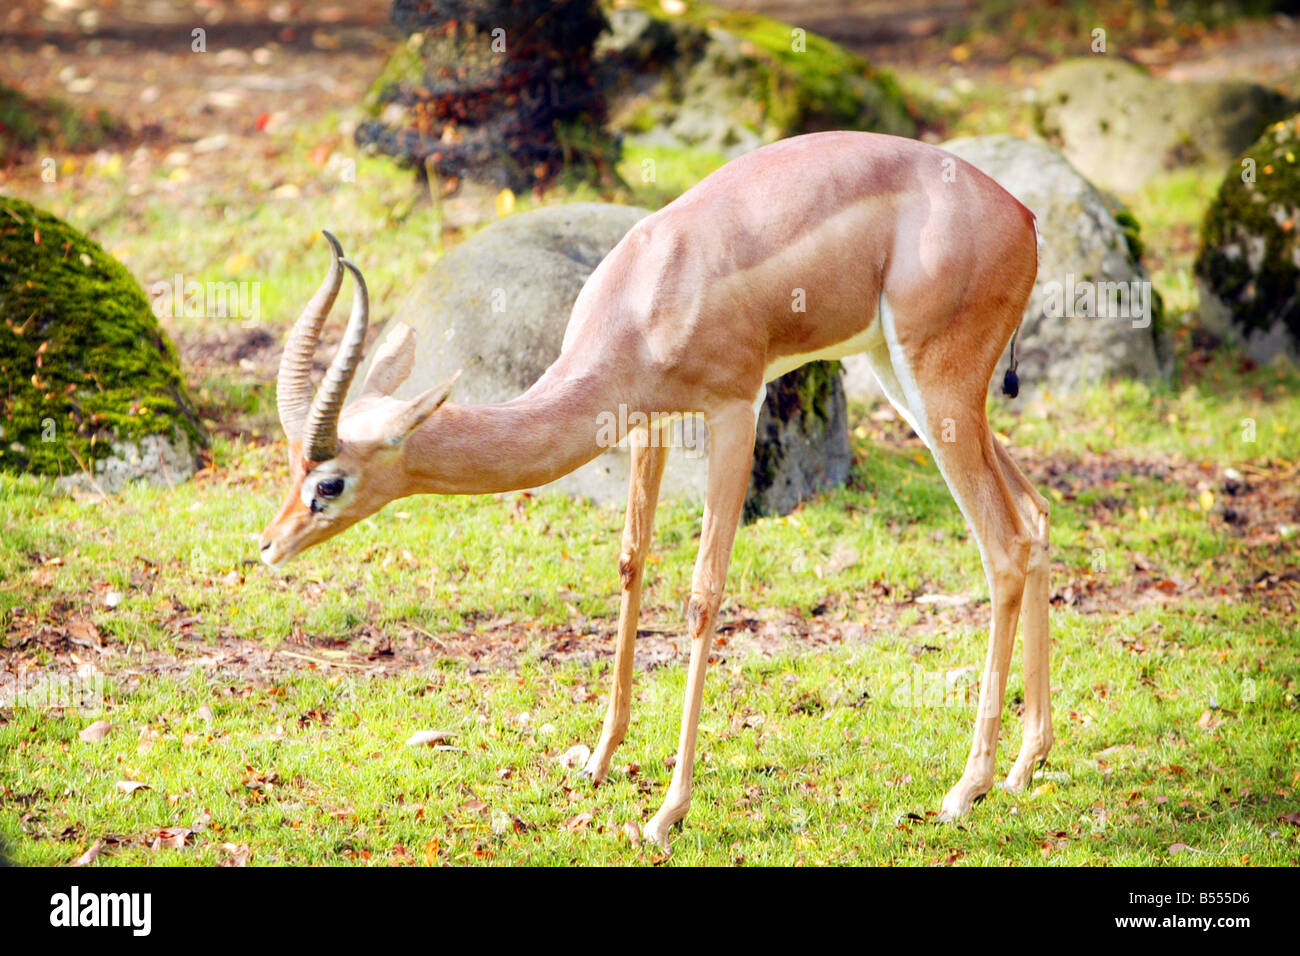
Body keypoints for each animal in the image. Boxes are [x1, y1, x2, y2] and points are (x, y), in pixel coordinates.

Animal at [260, 131, 1052, 848]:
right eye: (293, 465)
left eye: (329, 481)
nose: (268, 546)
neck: (649, 298)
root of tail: (1020, 214)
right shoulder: (647, 420)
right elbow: (631, 561)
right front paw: (597, 761)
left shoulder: (734, 411)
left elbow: (703, 596)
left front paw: (666, 813)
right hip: (908, 381)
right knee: (1037, 515)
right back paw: (1024, 768)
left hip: (938, 386)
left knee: (1004, 543)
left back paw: (966, 790)